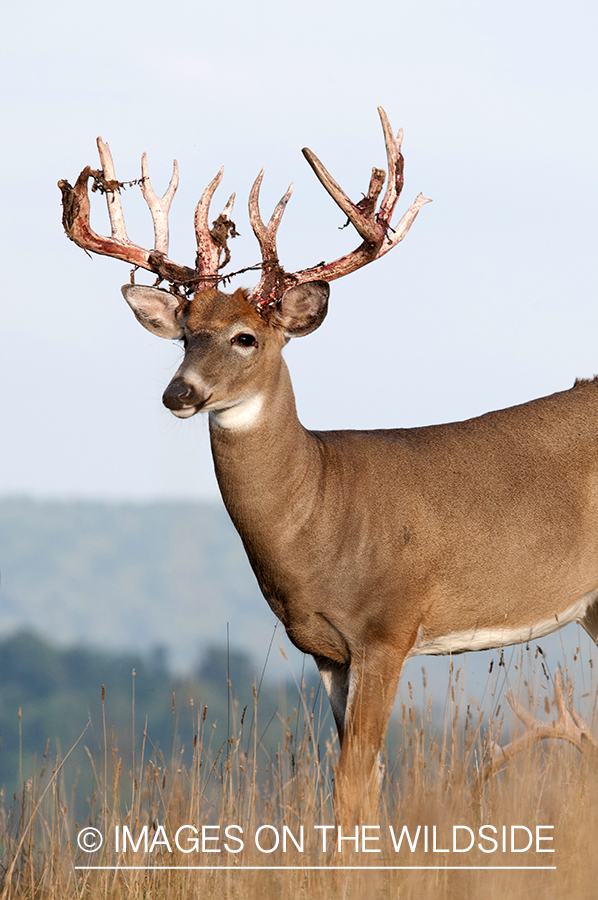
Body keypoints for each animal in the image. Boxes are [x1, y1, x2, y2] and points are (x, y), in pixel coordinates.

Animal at [59, 109, 598, 828]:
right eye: (185, 336)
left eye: (246, 337)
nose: (179, 393)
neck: (323, 511)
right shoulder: (325, 650)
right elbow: (356, 784)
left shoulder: (388, 626)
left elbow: (353, 778)